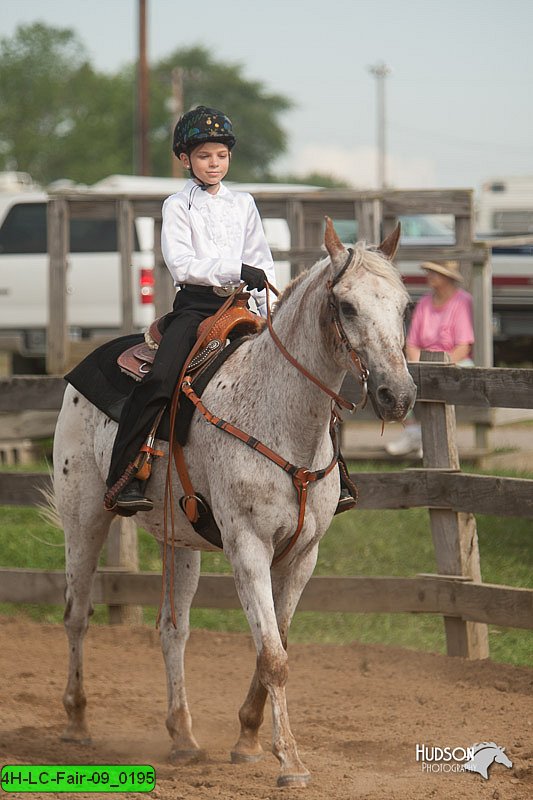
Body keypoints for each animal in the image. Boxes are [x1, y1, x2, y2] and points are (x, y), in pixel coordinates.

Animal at [52, 220, 416, 788]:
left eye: (404, 306)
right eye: (347, 305)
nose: (396, 396)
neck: (283, 418)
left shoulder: (303, 554)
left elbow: (278, 645)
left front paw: (247, 738)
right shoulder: (248, 547)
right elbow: (272, 656)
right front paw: (289, 762)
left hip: (180, 541)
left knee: (172, 630)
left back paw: (182, 736)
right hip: (84, 516)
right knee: (76, 615)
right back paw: (77, 722)